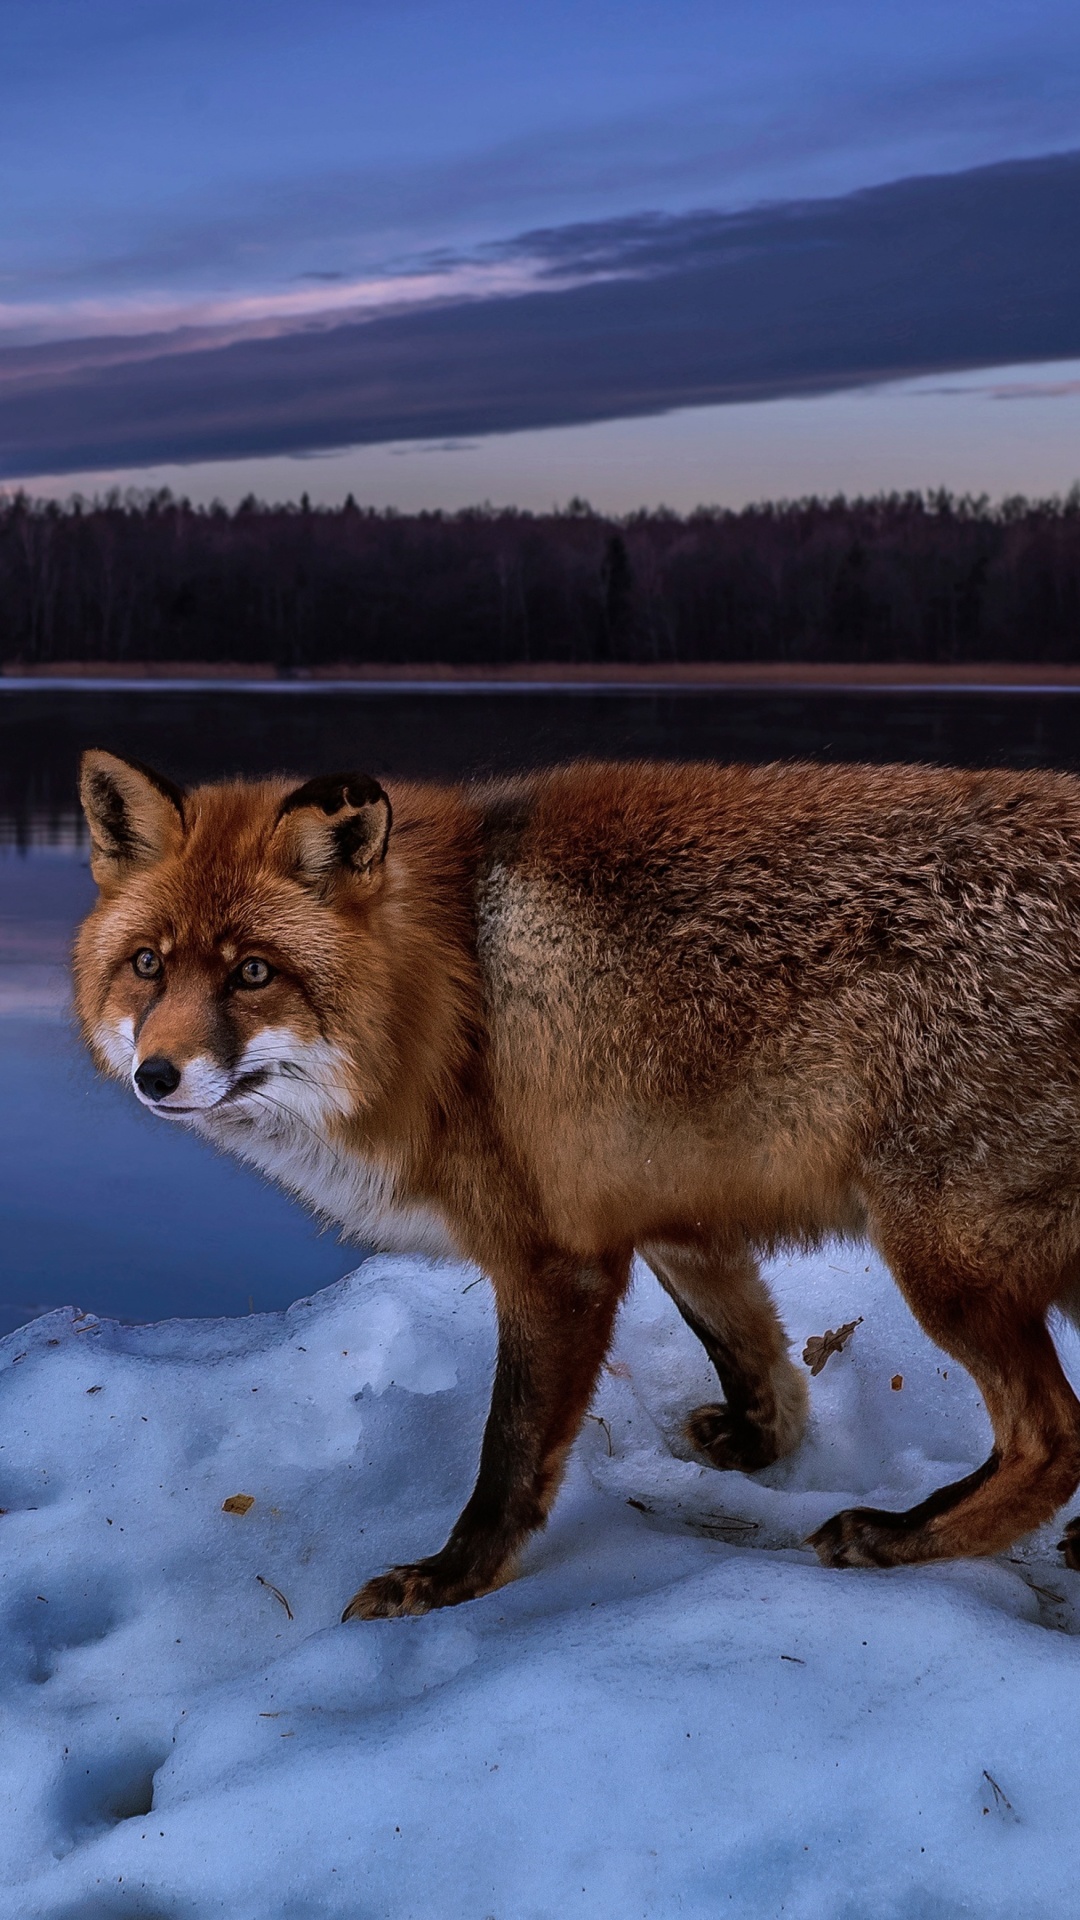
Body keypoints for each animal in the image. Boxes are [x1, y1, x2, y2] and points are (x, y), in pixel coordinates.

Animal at [73, 741, 1080, 1612]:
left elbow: (511, 1452)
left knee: (1054, 1442)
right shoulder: (667, 1208)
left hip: (943, 1263)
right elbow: (749, 1350)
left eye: (253, 973)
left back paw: (898, 1538)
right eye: (148, 965)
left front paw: (450, 1580)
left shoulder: (555, 1261)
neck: (453, 996)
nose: (155, 1076)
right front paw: (761, 1443)